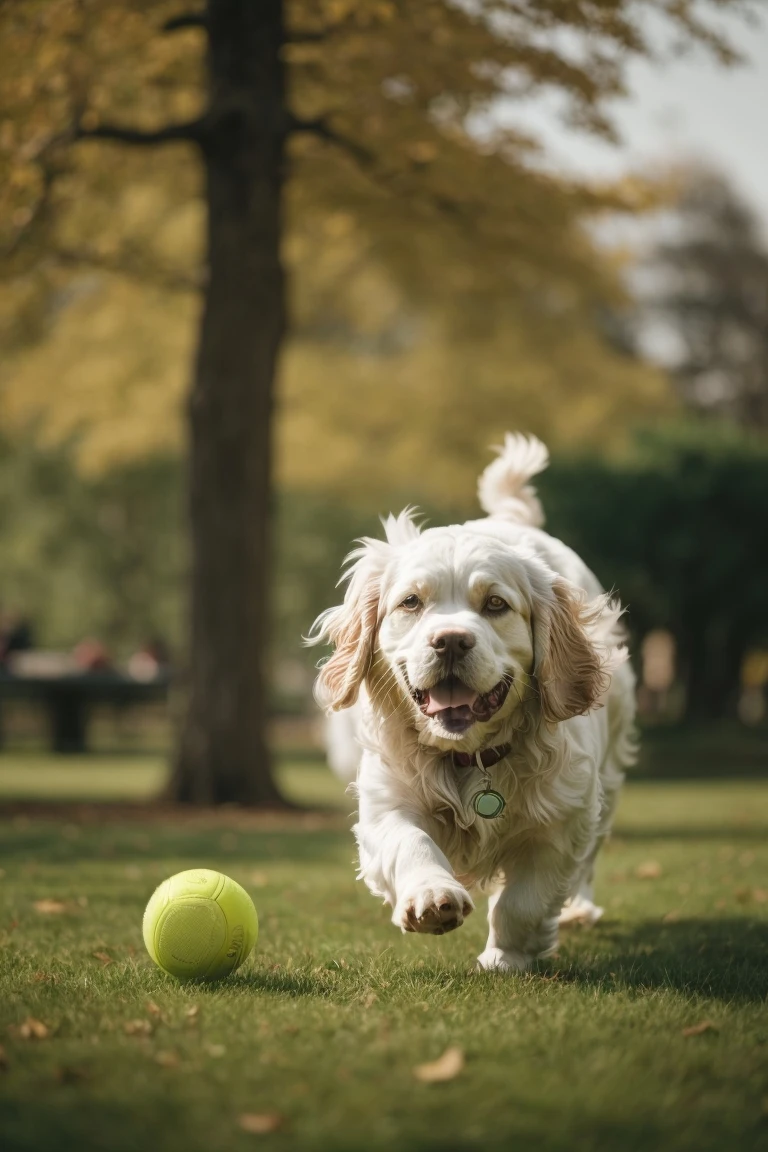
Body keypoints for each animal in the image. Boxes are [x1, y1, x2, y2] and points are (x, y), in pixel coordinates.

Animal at [308, 433, 635, 972]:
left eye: (496, 604)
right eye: (411, 602)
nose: (451, 642)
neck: (469, 758)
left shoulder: (563, 819)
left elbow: (525, 900)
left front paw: (506, 958)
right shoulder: (386, 801)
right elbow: (411, 843)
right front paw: (431, 899)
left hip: (605, 781)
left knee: (589, 860)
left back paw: (579, 910)